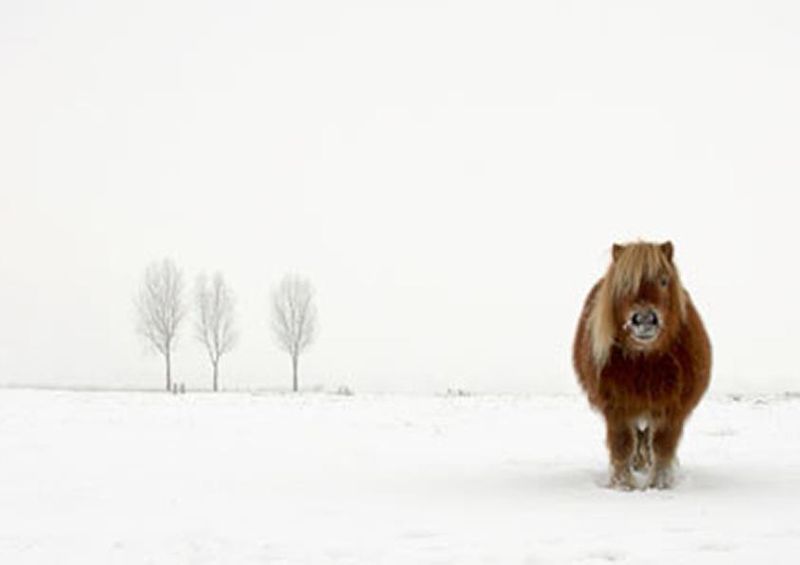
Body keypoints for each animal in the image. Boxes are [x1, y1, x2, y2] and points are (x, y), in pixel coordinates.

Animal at [572, 241, 711, 489]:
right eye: (625, 283)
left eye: (664, 280)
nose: (645, 320)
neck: (645, 361)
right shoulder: (616, 409)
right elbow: (622, 446)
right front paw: (623, 485)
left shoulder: (672, 410)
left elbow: (662, 447)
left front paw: (659, 485)